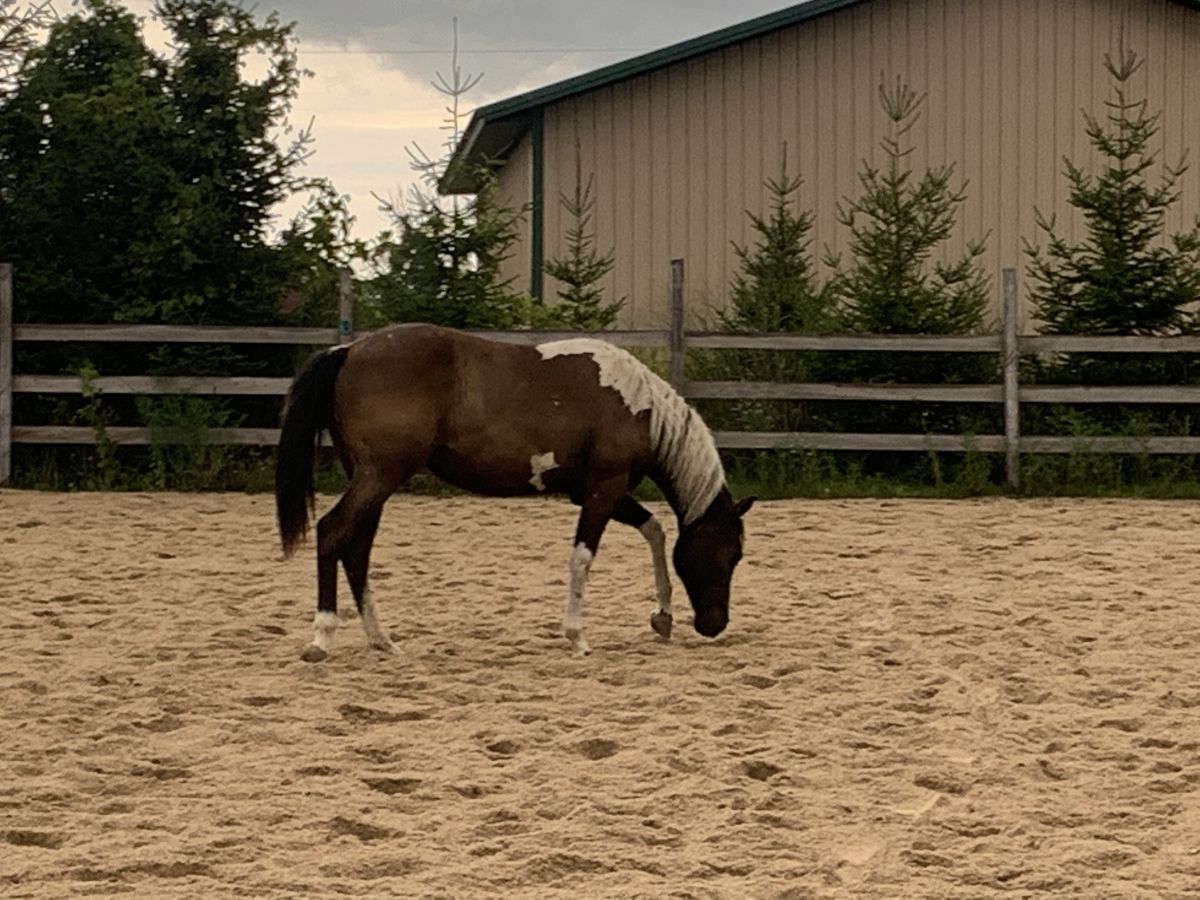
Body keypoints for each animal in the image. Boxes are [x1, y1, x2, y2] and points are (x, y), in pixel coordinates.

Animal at [274, 323, 755, 662]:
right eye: (730, 554)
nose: (715, 624)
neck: (638, 407)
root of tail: (348, 350)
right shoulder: (604, 489)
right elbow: (583, 557)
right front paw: (577, 638)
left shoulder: (599, 492)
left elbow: (654, 530)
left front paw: (663, 617)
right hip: (379, 476)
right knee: (332, 532)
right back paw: (322, 638)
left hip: (373, 480)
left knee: (357, 549)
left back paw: (382, 641)